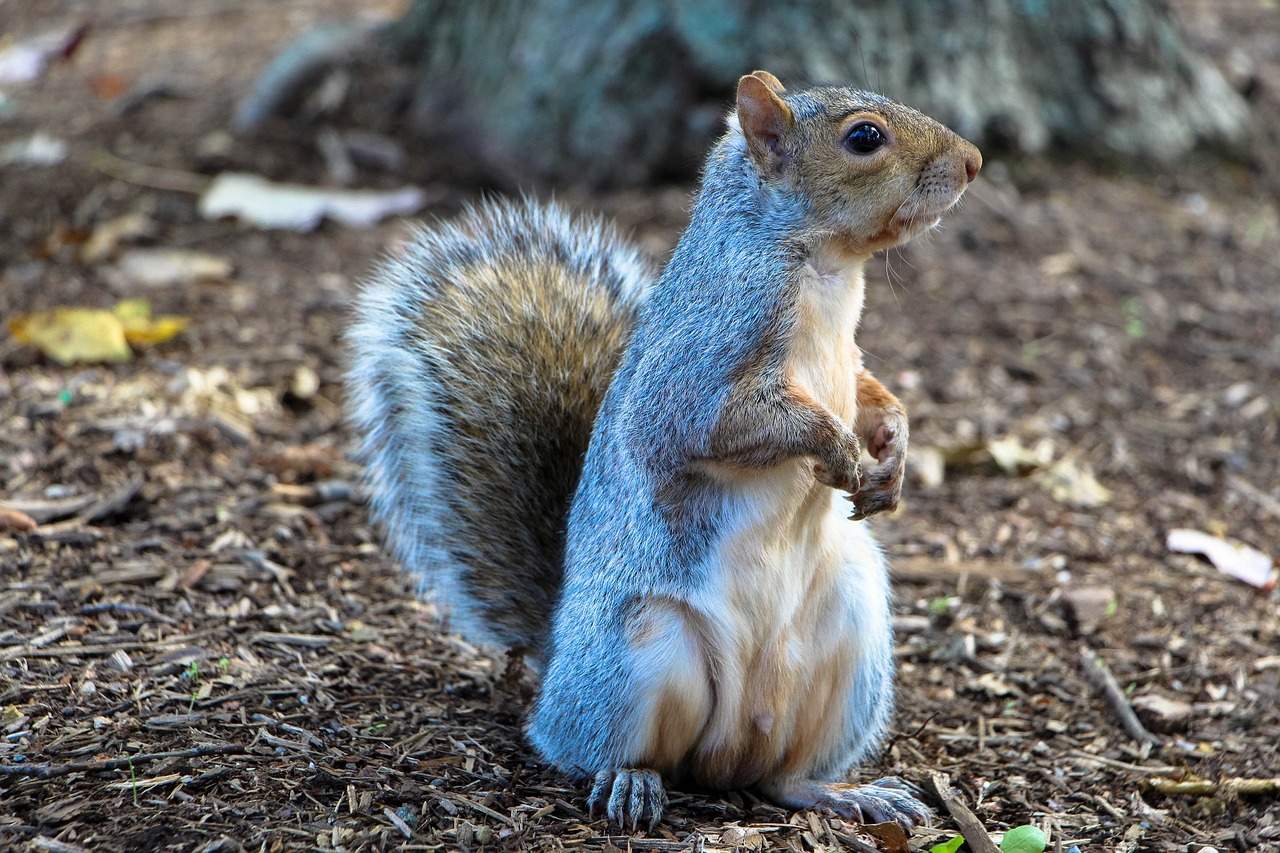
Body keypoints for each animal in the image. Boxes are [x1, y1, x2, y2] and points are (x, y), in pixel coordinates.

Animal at [347, 71, 981, 833]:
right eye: (863, 138)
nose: (974, 161)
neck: (827, 269)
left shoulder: (847, 359)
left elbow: (869, 393)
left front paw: (893, 452)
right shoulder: (704, 359)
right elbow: (721, 424)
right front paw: (842, 450)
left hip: (852, 637)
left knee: (782, 777)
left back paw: (842, 791)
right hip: (639, 652)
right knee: (600, 749)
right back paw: (631, 781)